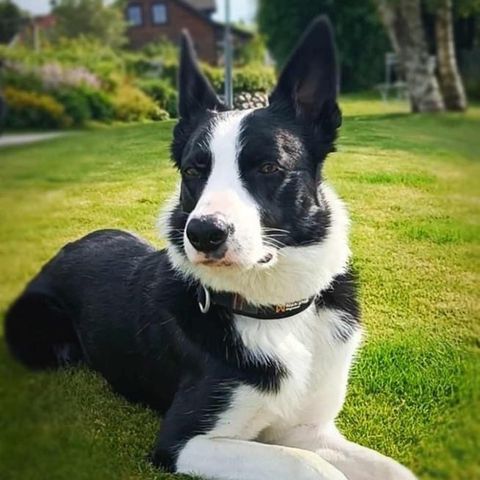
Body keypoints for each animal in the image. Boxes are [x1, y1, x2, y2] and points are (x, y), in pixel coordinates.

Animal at [4, 17, 416, 480]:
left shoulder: (310, 431)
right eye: (193, 171)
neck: (276, 312)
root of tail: (68, 247)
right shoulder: (184, 442)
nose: (203, 234)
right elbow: (310, 465)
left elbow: (391, 469)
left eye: (269, 167)